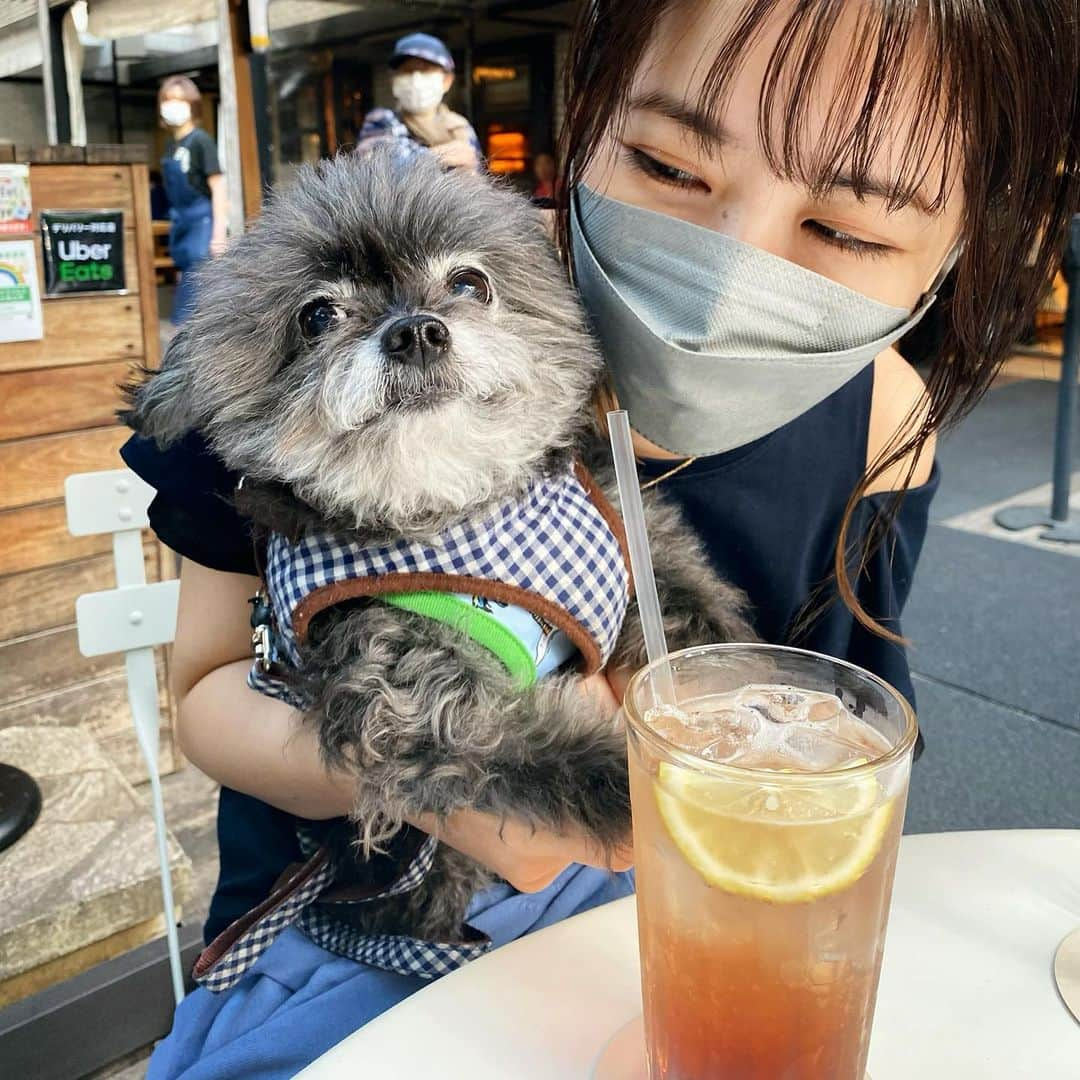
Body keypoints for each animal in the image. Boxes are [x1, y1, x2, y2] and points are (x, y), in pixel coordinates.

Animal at [124, 145, 751, 946]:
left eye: (469, 283)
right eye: (317, 315)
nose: (417, 330)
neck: (456, 505)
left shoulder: (635, 543)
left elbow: (702, 628)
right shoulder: (417, 700)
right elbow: (547, 752)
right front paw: (672, 783)